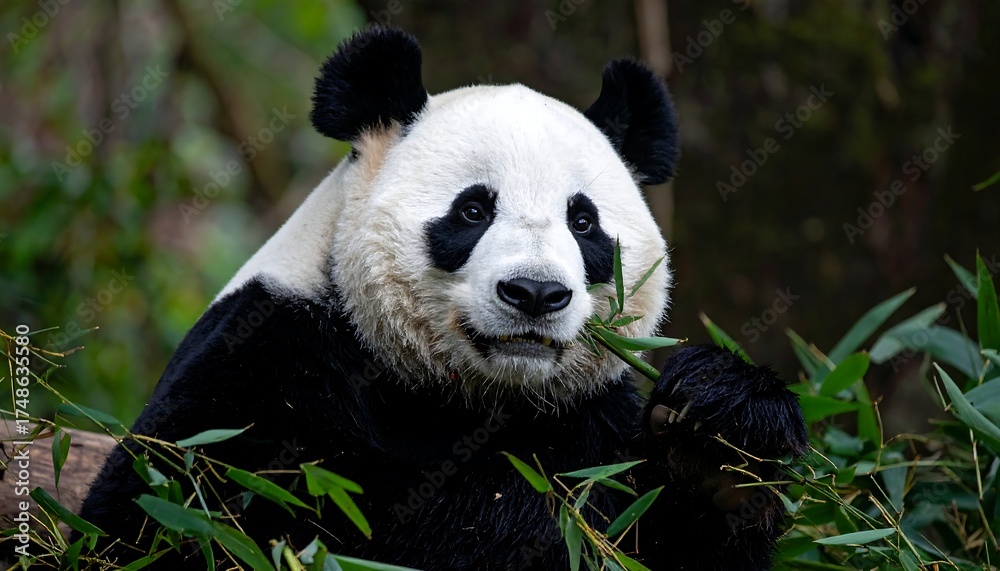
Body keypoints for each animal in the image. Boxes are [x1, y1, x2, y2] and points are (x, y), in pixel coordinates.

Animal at [79, 27, 807, 571]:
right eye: (473, 210)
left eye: (584, 222)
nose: (534, 293)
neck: (470, 396)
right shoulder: (263, 359)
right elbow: (175, 520)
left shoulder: (590, 412)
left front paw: (718, 445)